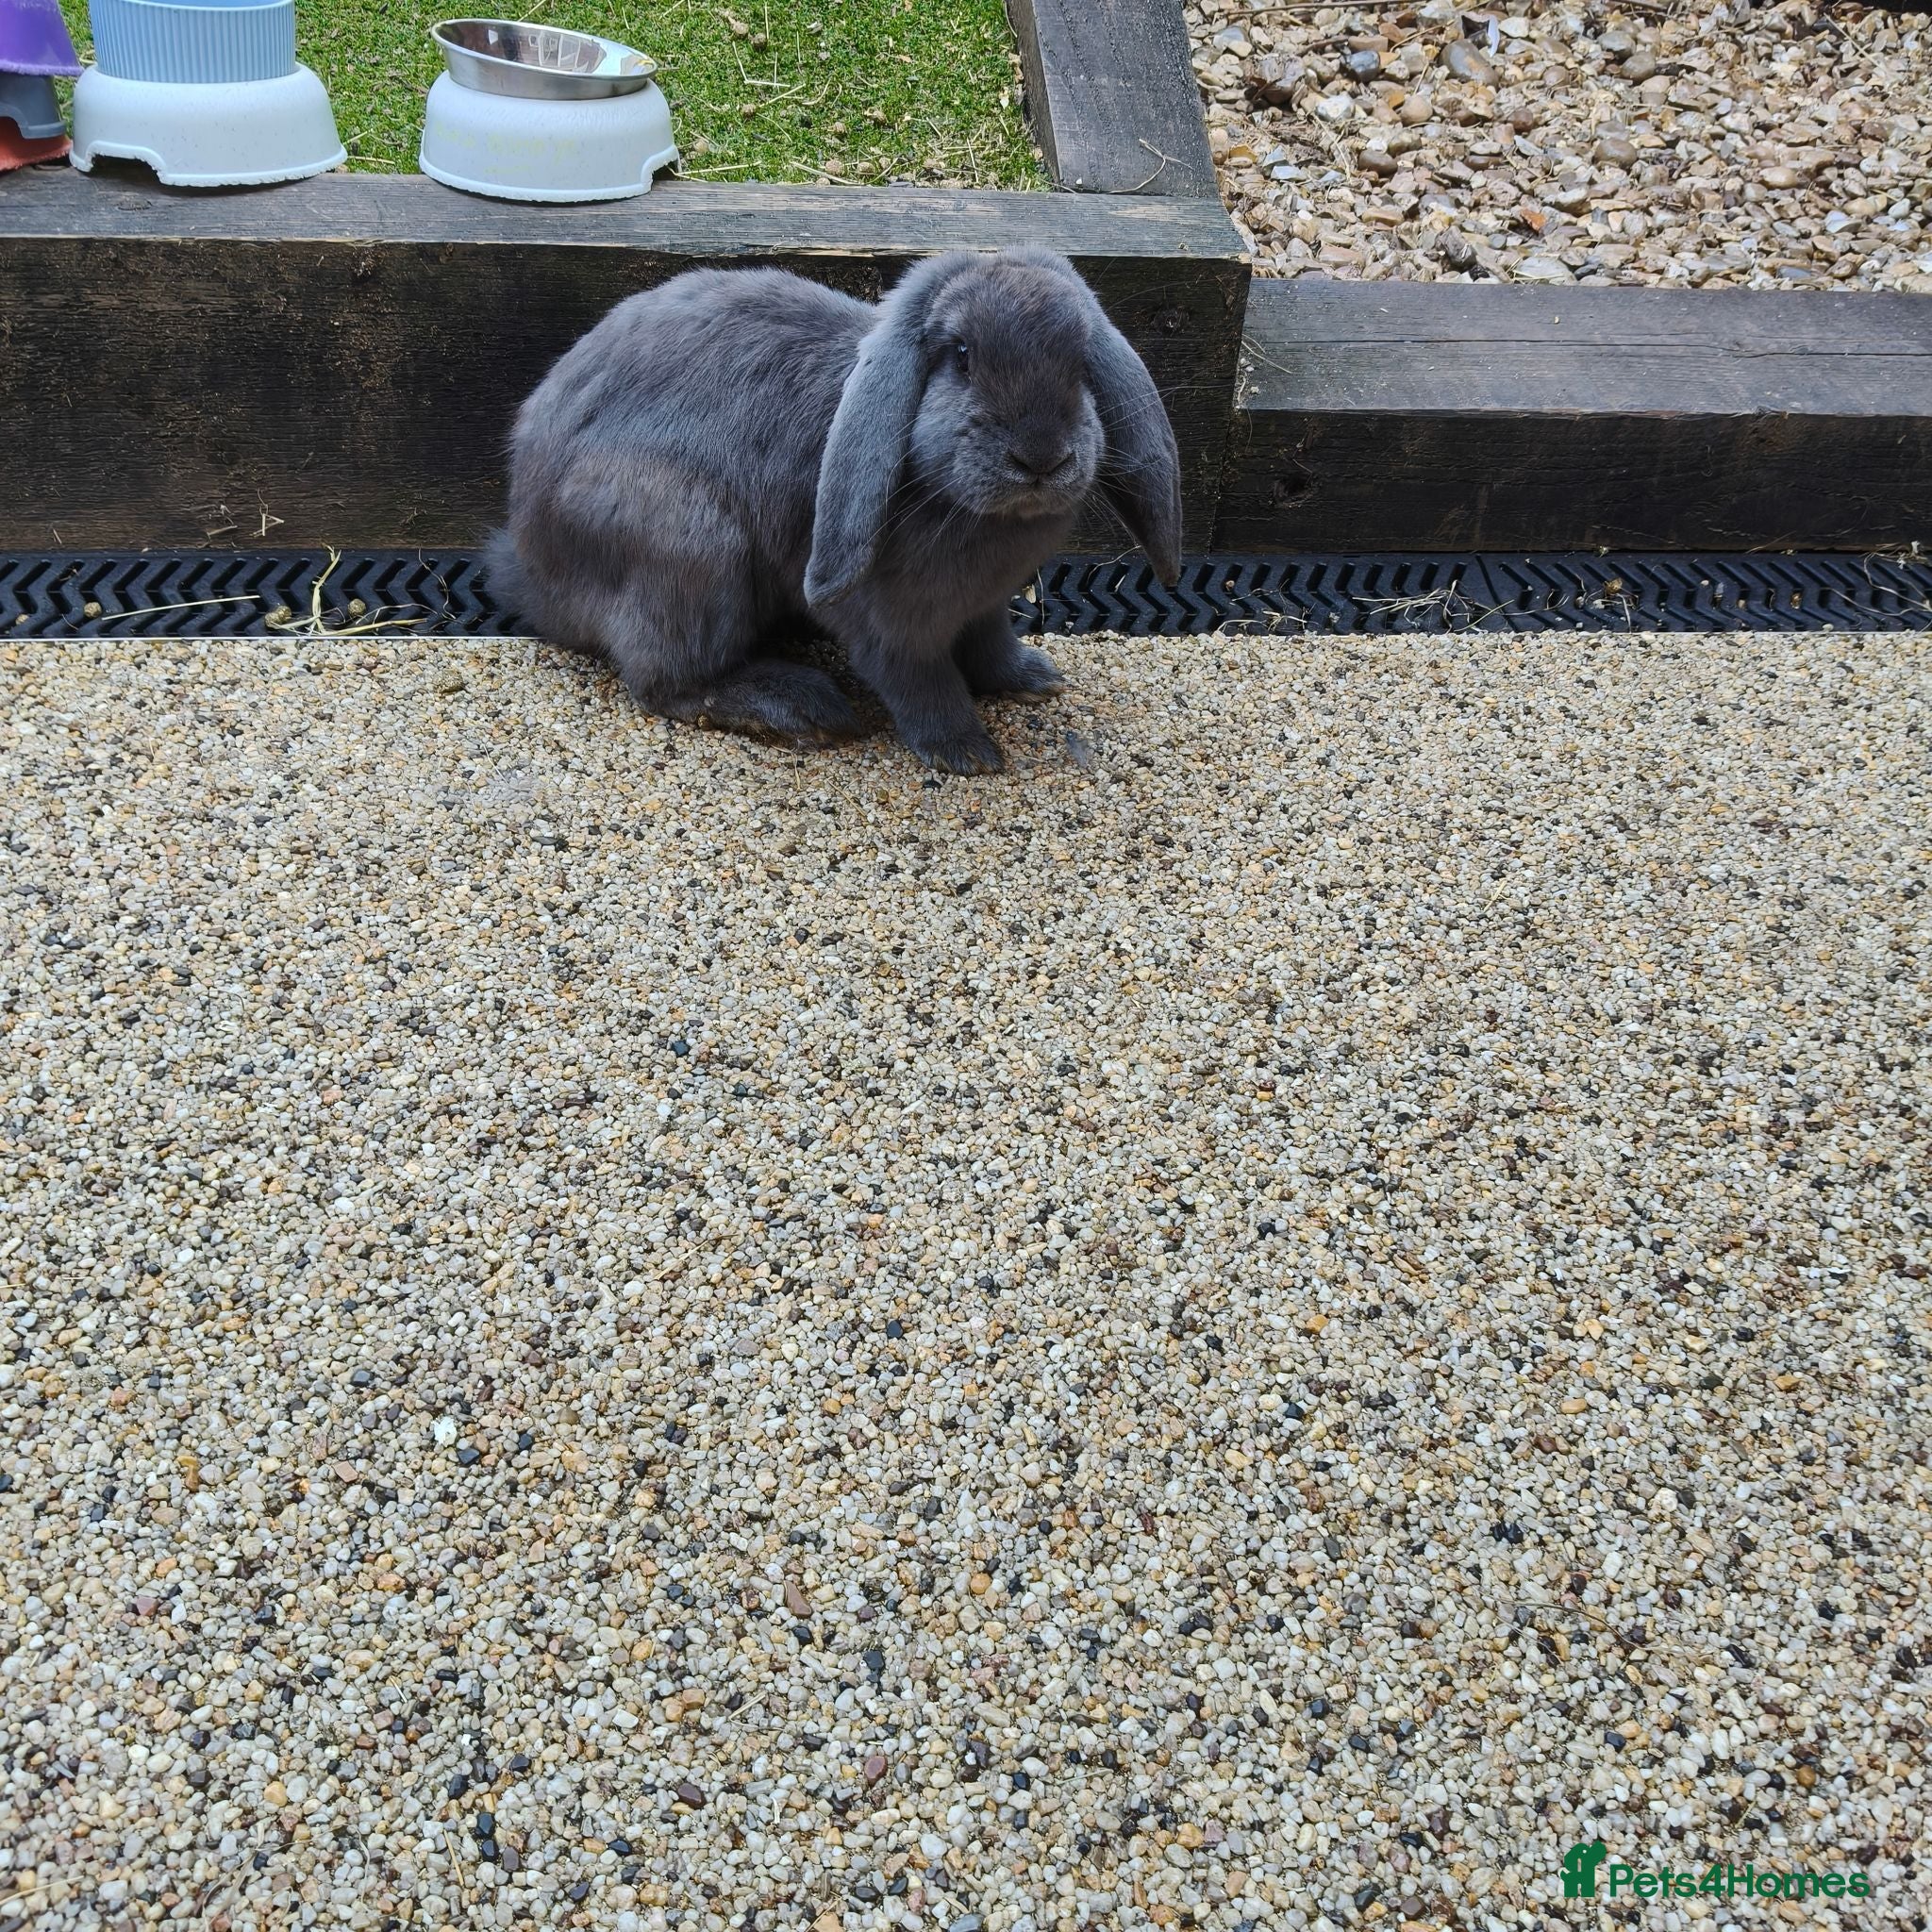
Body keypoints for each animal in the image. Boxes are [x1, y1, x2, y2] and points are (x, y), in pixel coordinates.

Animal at [485, 248, 1181, 775]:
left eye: (1080, 360)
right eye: (960, 355)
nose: (1040, 457)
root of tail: (530, 567)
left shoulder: (983, 609)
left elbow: (992, 646)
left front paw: (1034, 678)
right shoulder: (891, 629)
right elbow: (921, 682)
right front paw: (966, 753)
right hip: (691, 553)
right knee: (664, 683)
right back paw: (799, 708)